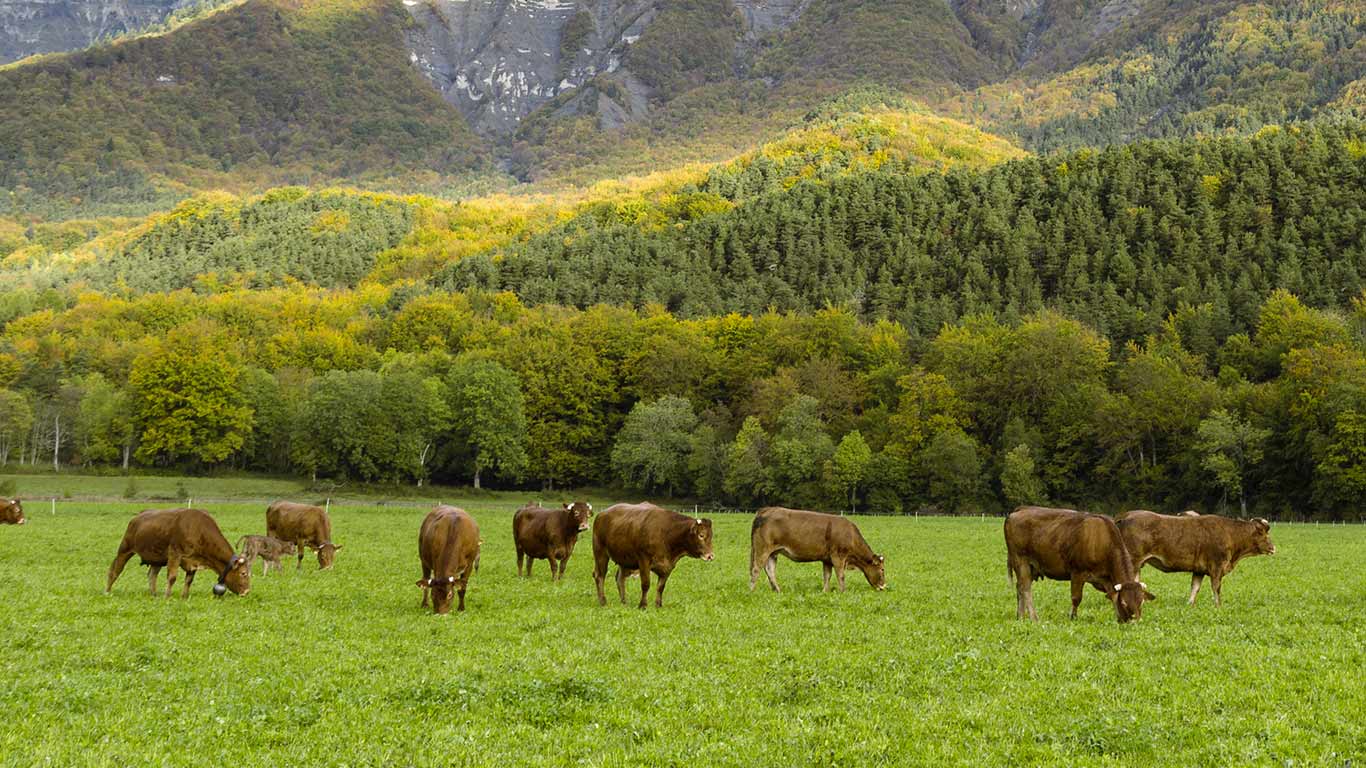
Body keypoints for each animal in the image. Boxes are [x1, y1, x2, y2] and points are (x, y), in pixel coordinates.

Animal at [106, 508, 250, 598]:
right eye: (243, 573)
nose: (247, 591)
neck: (198, 528)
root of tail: (139, 515)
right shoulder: (175, 554)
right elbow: (172, 577)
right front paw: (167, 596)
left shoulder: (193, 561)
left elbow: (189, 580)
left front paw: (184, 596)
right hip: (125, 549)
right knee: (115, 570)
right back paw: (107, 591)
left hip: (157, 558)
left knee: (152, 575)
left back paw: (154, 594)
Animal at [749, 507, 885, 593]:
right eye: (882, 569)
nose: (884, 586)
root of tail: (767, 509)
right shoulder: (838, 556)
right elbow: (840, 575)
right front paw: (843, 591)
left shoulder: (827, 559)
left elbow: (827, 575)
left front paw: (825, 591)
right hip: (763, 549)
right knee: (756, 569)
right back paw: (752, 591)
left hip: (773, 552)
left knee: (770, 570)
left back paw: (777, 590)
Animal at [1004, 506, 1155, 622]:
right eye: (1124, 602)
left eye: (1141, 601)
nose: (1135, 621)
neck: (1103, 541)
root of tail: (1020, 510)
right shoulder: (1077, 573)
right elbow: (1076, 598)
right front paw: (1073, 617)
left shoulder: (1105, 578)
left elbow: (1112, 596)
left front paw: (1118, 617)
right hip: (1020, 560)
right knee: (1025, 588)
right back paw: (1034, 618)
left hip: (1030, 566)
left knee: (1019, 588)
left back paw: (1020, 617)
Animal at [1116, 510, 1275, 606]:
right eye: (1263, 533)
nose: (1273, 548)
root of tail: (1127, 515)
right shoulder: (1216, 566)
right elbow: (1216, 587)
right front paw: (1218, 605)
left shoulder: (1199, 570)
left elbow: (1195, 588)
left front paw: (1190, 604)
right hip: (1133, 561)